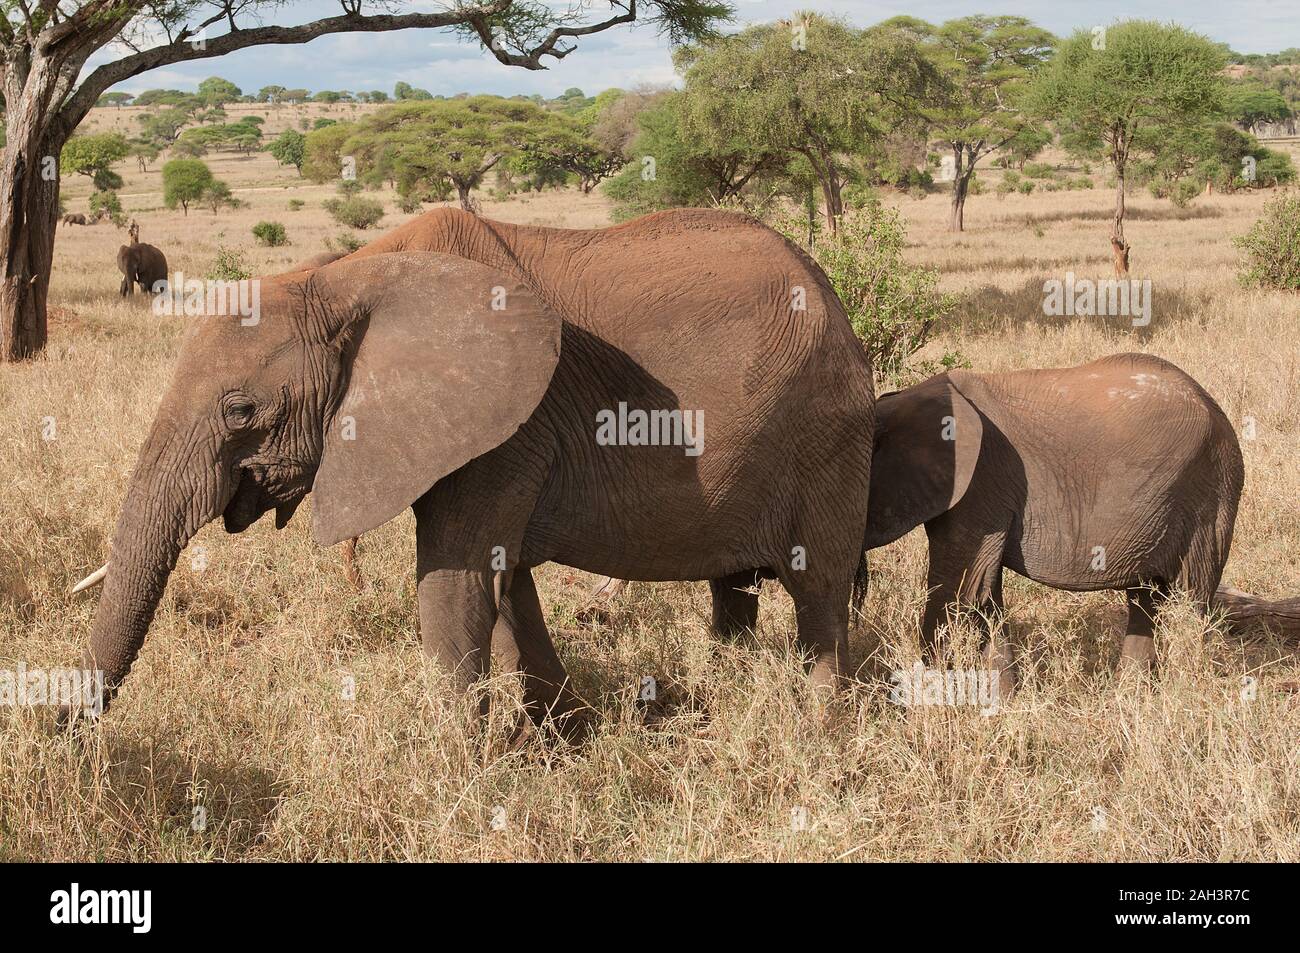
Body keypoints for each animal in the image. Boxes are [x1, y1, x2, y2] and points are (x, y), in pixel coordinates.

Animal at [74, 207, 876, 732]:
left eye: (240, 411)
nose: (69, 736)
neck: (340, 279)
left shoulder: (505, 427)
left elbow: (453, 583)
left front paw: (461, 768)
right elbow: (503, 579)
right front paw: (560, 737)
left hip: (826, 433)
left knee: (820, 592)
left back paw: (820, 733)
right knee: (737, 585)